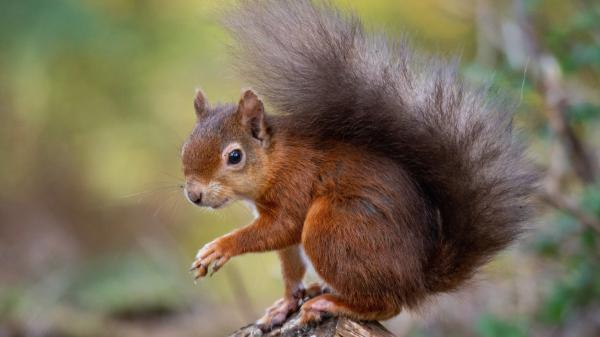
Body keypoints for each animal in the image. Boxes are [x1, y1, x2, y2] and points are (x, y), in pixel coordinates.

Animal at [180, 0, 536, 330]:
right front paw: (284, 304)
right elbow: (289, 263)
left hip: (334, 228)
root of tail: (417, 280)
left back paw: (331, 304)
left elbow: (283, 228)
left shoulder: (294, 186)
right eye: (185, 147)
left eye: (234, 156)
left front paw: (219, 248)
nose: (194, 195)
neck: (275, 159)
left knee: (387, 304)